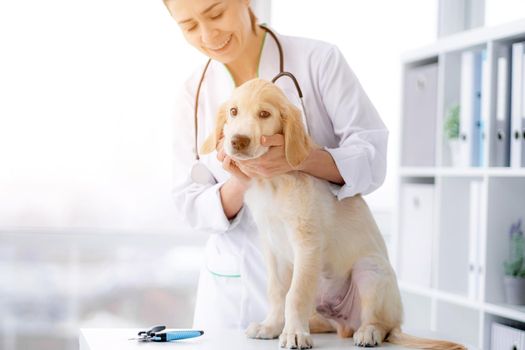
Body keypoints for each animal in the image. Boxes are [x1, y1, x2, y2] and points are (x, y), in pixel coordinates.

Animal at [199, 79, 464, 350]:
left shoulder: (307, 243)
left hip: (370, 271)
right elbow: (277, 291)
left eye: (264, 114)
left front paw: (294, 333)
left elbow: (295, 295)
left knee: (383, 325)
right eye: (233, 112)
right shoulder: (271, 245)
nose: (238, 141)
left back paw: (368, 332)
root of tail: (346, 324)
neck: (273, 182)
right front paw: (271, 326)